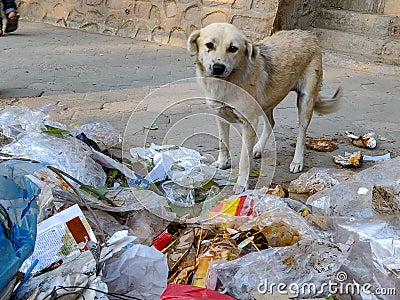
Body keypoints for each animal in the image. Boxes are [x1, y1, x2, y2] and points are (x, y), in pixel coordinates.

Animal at [187, 22, 340, 192]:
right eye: (209, 45)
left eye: (233, 48)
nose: (218, 68)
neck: (227, 83)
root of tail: (308, 34)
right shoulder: (220, 116)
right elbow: (222, 143)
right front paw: (222, 163)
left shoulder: (248, 123)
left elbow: (244, 159)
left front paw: (242, 183)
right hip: (267, 101)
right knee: (271, 123)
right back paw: (258, 148)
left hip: (305, 101)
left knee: (301, 132)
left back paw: (297, 161)